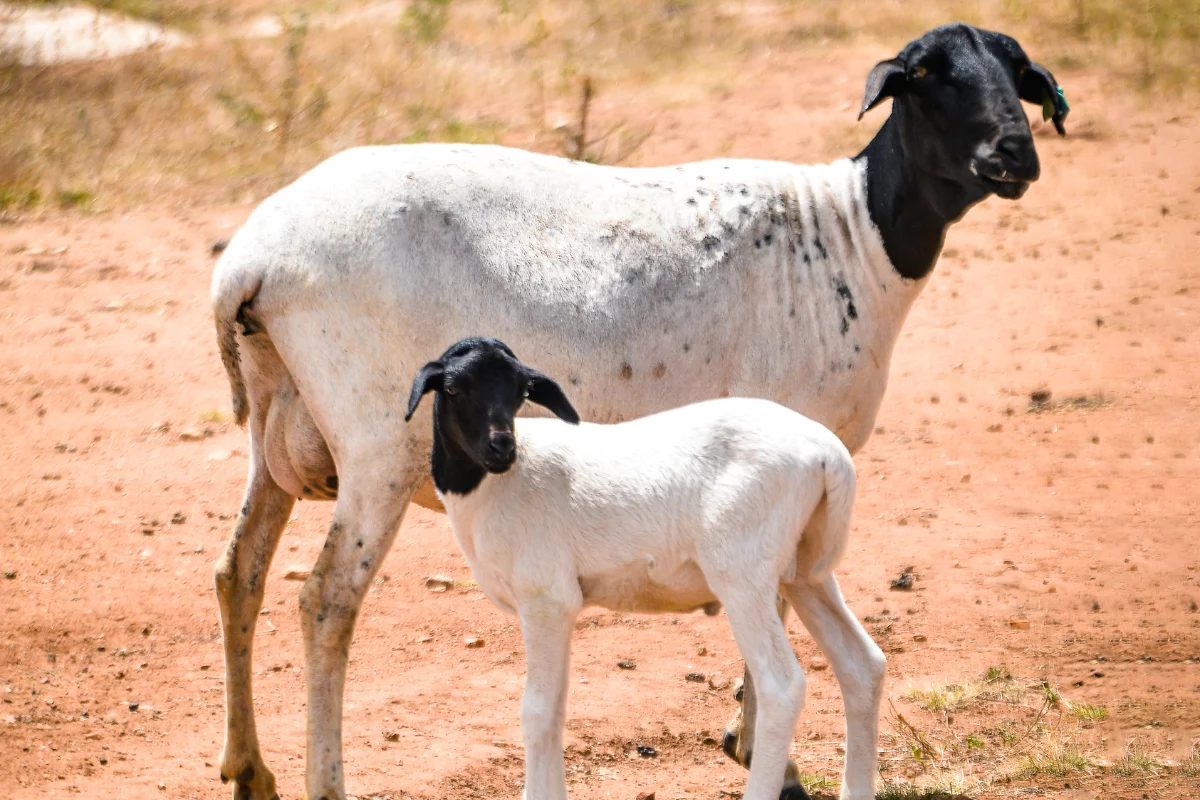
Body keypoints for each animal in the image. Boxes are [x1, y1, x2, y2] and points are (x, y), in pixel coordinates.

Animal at [408, 335, 888, 800]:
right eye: (453, 389)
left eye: (520, 391)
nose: (501, 448)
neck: (496, 486)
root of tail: (828, 454)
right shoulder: (558, 609)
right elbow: (558, 707)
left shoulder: (545, 599)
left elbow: (537, 712)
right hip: (804, 571)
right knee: (862, 664)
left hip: (743, 572)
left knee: (782, 687)